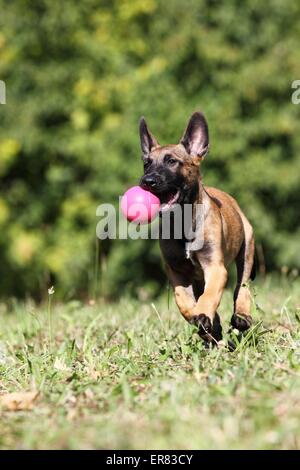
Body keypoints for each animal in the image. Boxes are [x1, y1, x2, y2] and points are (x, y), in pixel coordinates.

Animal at [139, 112, 254, 344]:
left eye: (171, 161)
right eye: (146, 164)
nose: (147, 181)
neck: (183, 221)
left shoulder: (215, 267)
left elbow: (210, 295)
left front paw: (202, 314)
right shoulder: (175, 270)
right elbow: (182, 298)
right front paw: (198, 317)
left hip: (246, 250)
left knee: (242, 287)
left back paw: (241, 317)